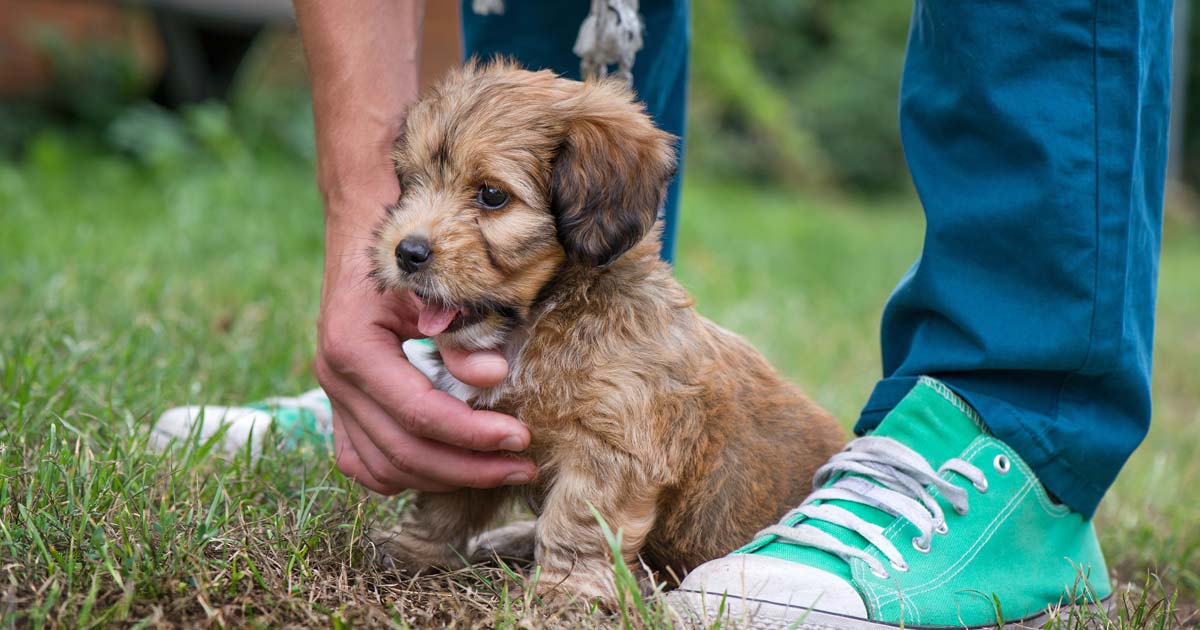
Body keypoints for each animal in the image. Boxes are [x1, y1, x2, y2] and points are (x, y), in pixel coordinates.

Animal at [364, 61, 844, 607]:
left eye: (491, 194)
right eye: (409, 182)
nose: (407, 252)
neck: (544, 317)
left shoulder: (611, 451)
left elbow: (577, 522)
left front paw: (564, 590)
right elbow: (445, 502)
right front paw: (413, 550)